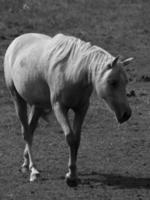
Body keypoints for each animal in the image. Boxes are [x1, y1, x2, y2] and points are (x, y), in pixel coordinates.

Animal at [3, 32, 133, 186]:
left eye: (126, 81)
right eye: (113, 82)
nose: (126, 114)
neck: (72, 71)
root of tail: (16, 41)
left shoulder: (81, 108)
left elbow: (77, 139)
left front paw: (73, 174)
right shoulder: (59, 107)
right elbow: (70, 137)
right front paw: (70, 177)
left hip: (38, 105)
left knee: (31, 129)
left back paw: (26, 163)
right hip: (17, 99)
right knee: (26, 133)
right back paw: (33, 170)